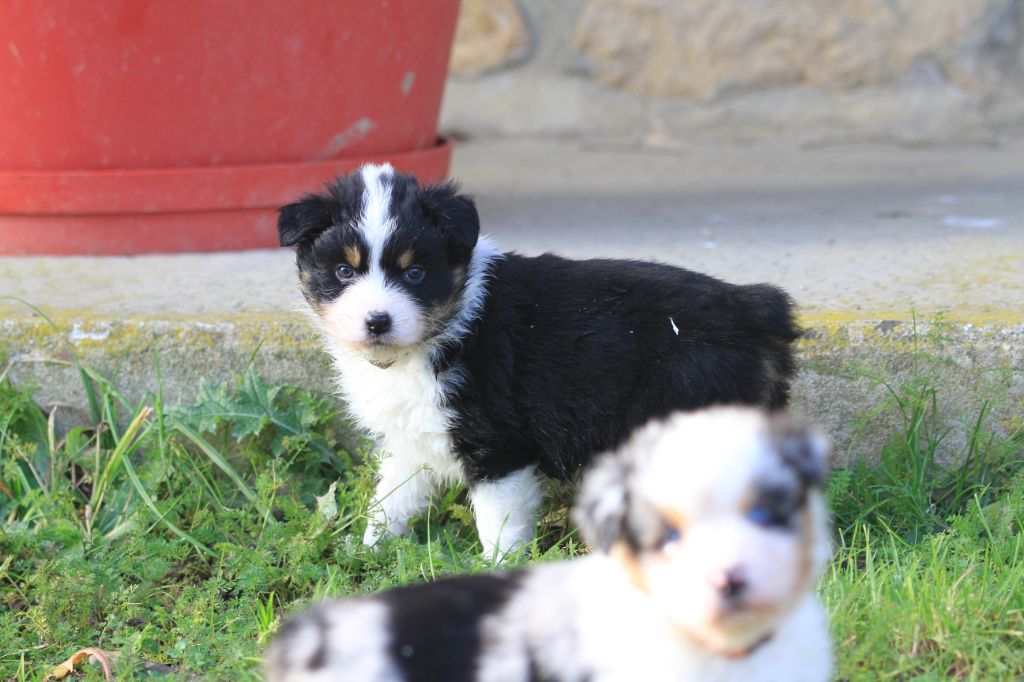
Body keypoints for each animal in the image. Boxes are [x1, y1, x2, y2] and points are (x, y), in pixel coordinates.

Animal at [278, 165, 798, 557]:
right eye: (344, 271)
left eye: (415, 273)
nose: (377, 321)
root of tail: (751, 307)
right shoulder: (414, 437)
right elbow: (391, 500)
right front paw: (366, 552)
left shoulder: (496, 444)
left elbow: (498, 522)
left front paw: (495, 571)